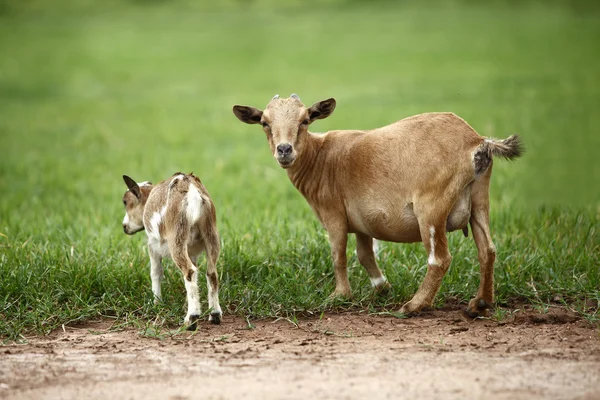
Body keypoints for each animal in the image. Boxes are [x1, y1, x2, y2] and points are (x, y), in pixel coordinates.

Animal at [120, 172, 221, 328]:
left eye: (125, 202)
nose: (124, 226)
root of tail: (191, 191)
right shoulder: (191, 251)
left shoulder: (153, 245)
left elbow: (156, 272)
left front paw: (156, 302)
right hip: (211, 234)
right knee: (210, 273)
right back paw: (214, 314)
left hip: (177, 236)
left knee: (189, 271)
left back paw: (191, 319)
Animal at [232, 94, 524, 316]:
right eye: (264, 122)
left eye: (305, 120)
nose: (284, 150)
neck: (321, 159)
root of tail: (477, 142)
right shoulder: (362, 221)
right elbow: (364, 254)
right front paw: (383, 287)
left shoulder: (333, 214)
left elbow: (338, 255)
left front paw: (340, 296)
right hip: (479, 198)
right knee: (487, 249)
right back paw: (480, 303)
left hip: (432, 206)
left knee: (439, 259)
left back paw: (414, 306)